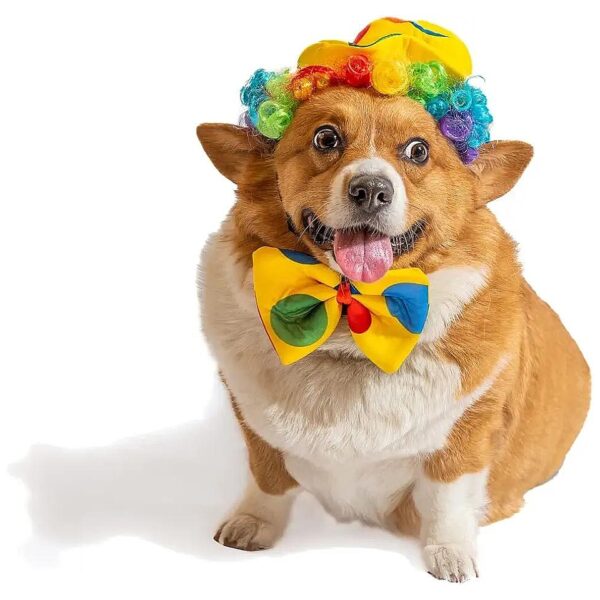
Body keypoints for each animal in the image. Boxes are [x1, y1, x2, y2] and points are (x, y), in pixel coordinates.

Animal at [195, 27, 588, 580]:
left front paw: (450, 556)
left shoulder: (468, 432)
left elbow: (448, 498)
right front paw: (252, 525)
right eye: (326, 139)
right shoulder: (253, 425)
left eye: (418, 150)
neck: (349, 324)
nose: (371, 189)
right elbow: (267, 477)